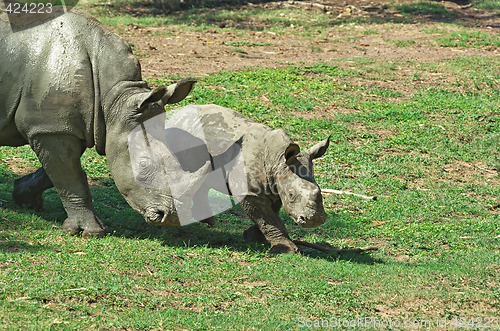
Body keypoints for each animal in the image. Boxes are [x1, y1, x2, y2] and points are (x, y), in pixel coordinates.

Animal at [0, 5, 205, 239]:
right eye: (143, 165)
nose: (171, 218)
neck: (114, 99)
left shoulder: (65, 126)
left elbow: (57, 172)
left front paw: (24, 197)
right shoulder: (51, 129)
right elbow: (70, 178)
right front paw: (90, 231)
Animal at [162, 104, 330, 254]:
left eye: (319, 191)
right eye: (291, 195)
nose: (314, 220)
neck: (277, 161)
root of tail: (178, 113)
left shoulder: (274, 187)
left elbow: (272, 215)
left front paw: (253, 237)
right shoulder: (251, 192)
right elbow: (268, 219)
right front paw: (286, 250)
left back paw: (208, 222)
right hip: (176, 136)